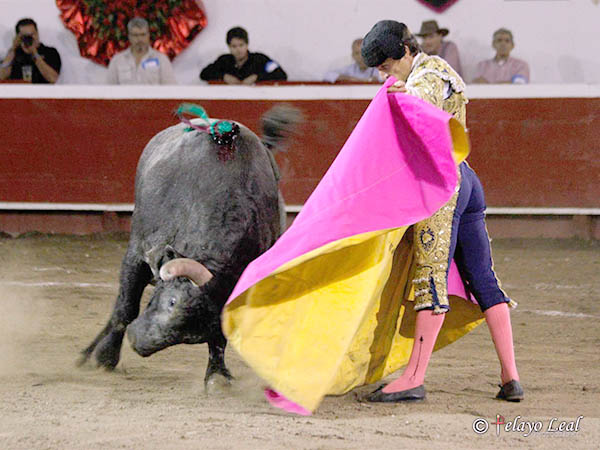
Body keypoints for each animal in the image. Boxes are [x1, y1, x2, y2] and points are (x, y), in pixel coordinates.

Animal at [78, 104, 299, 389]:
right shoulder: (137, 255)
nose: (139, 343)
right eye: (172, 301)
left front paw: (217, 375)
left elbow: (219, 342)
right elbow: (125, 309)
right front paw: (105, 357)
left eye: (193, 334)